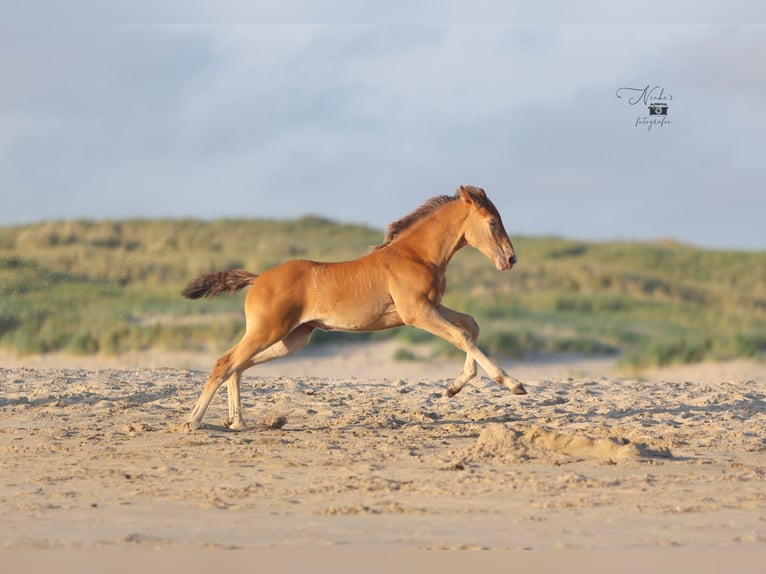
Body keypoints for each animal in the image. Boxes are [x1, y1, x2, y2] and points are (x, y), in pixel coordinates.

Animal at [181, 185, 526, 430]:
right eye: (492, 222)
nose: (511, 259)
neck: (416, 255)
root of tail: (258, 278)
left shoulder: (431, 307)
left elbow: (471, 325)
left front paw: (453, 388)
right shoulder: (416, 313)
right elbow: (462, 336)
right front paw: (513, 383)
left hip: (292, 339)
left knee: (238, 366)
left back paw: (237, 421)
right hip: (268, 330)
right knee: (225, 362)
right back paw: (194, 420)